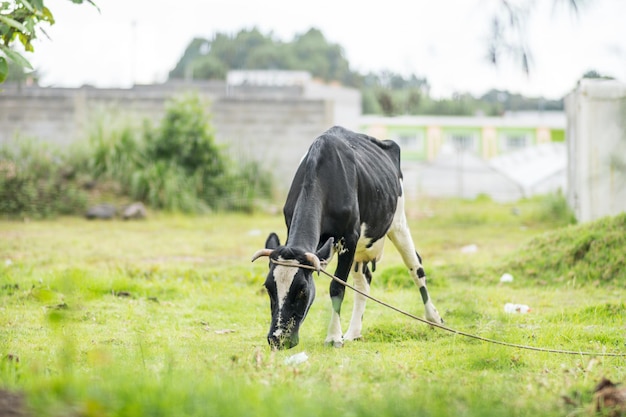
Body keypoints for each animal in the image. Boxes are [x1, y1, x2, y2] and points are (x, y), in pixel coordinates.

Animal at [251, 126, 442, 348]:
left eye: (302, 290)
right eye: (268, 288)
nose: (277, 339)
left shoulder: (350, 237)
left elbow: (337, 287)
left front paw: (333, 337)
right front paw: (339, 335)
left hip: (398, 222)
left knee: (416, 267)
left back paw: (434, 319)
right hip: (362, 247)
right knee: (363, 281)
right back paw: (353, 332)